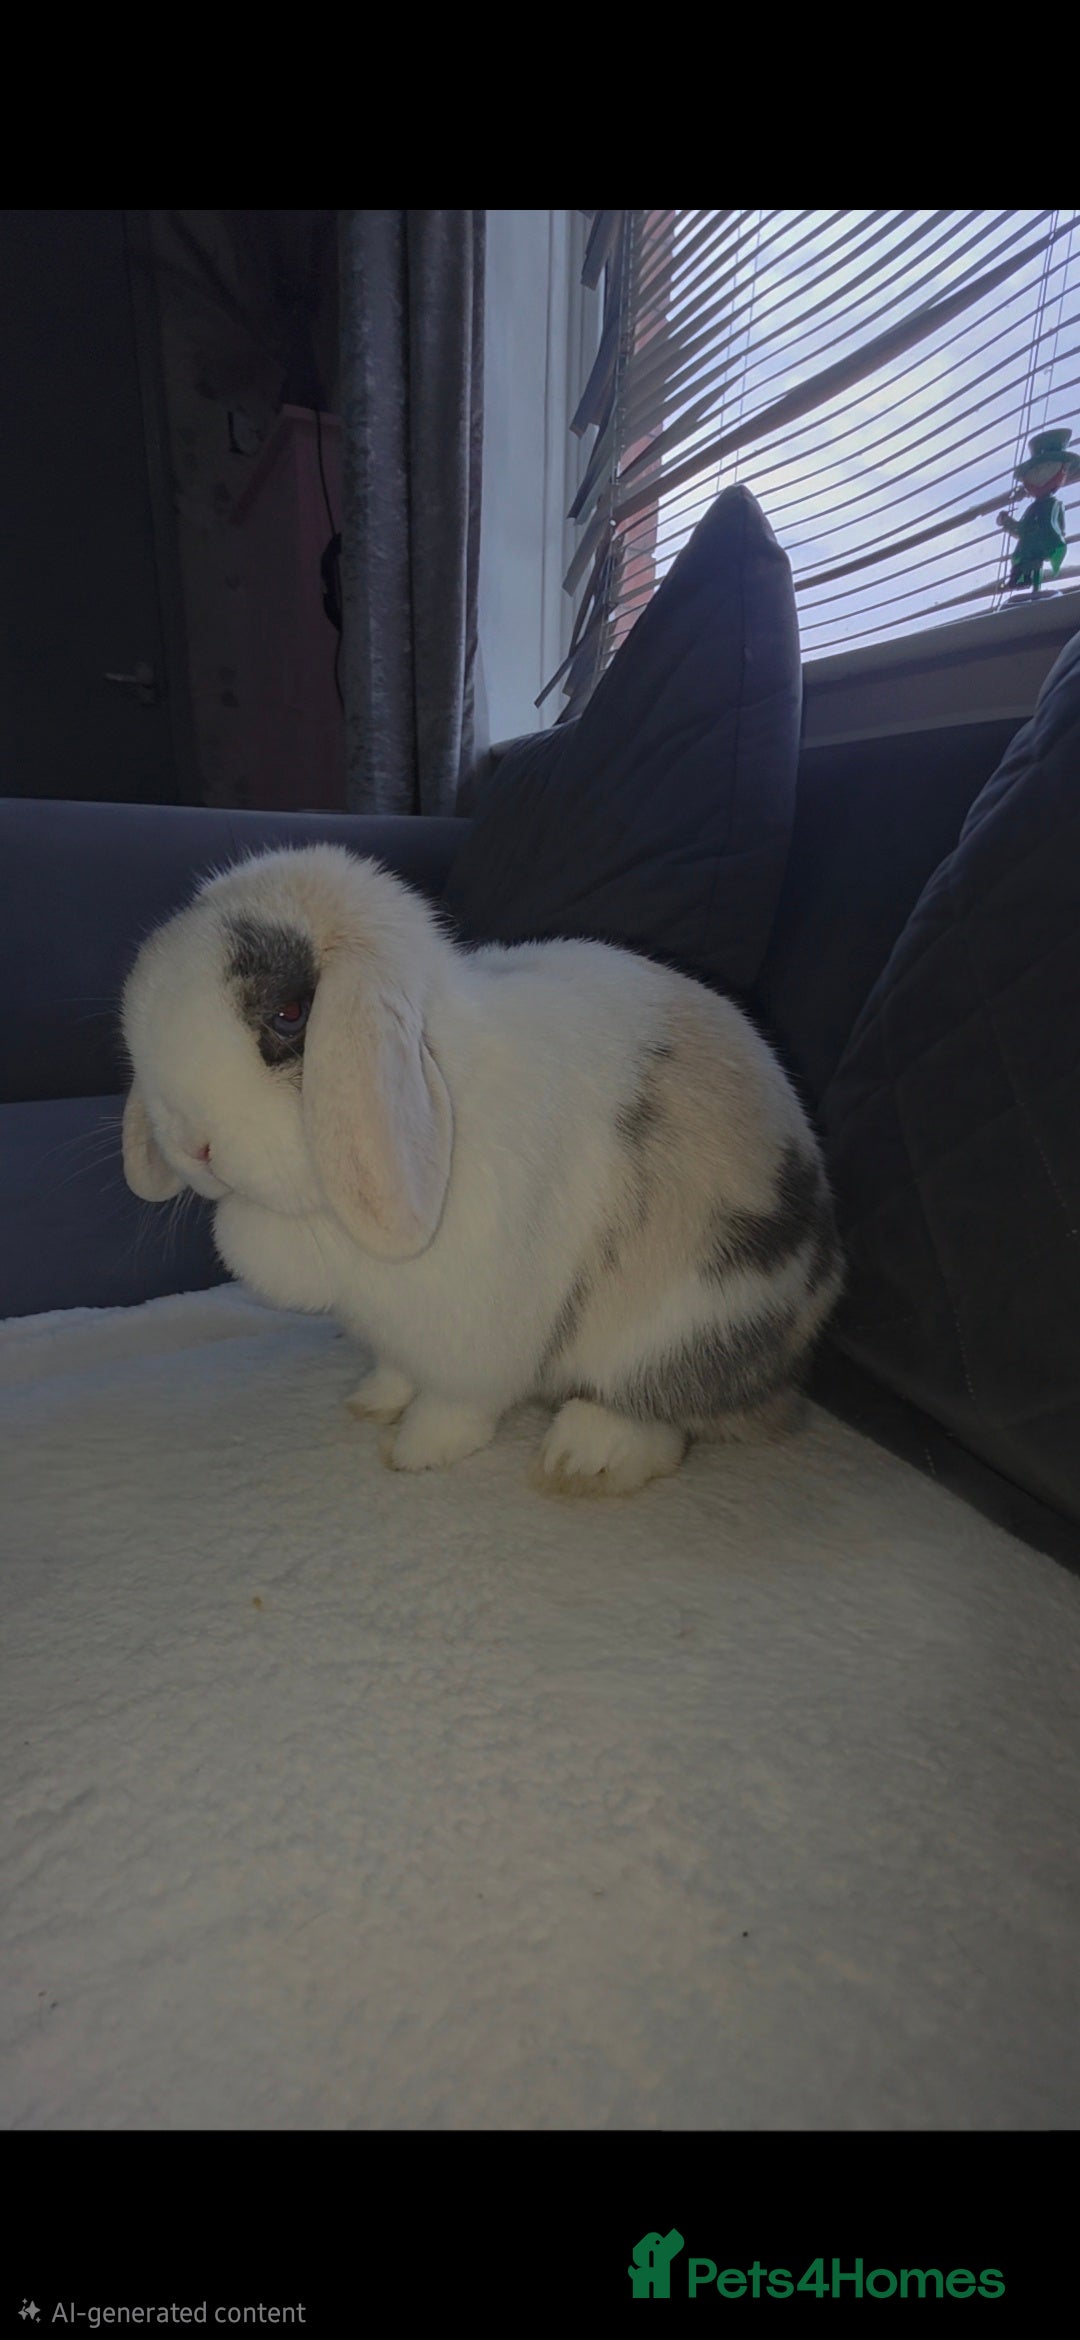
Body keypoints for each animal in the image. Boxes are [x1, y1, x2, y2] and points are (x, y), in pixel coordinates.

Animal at [120, 844, 843, 1495]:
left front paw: (415, 1452)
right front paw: (370, 1402)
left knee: (657, 1414)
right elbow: (396, 1370)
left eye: (289, 1015)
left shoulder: (476, 1338)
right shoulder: (394, 1332)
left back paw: (580, 1457)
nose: (193, 1145)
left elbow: (455, 1405)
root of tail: (790, 1371)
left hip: (679, 1323)